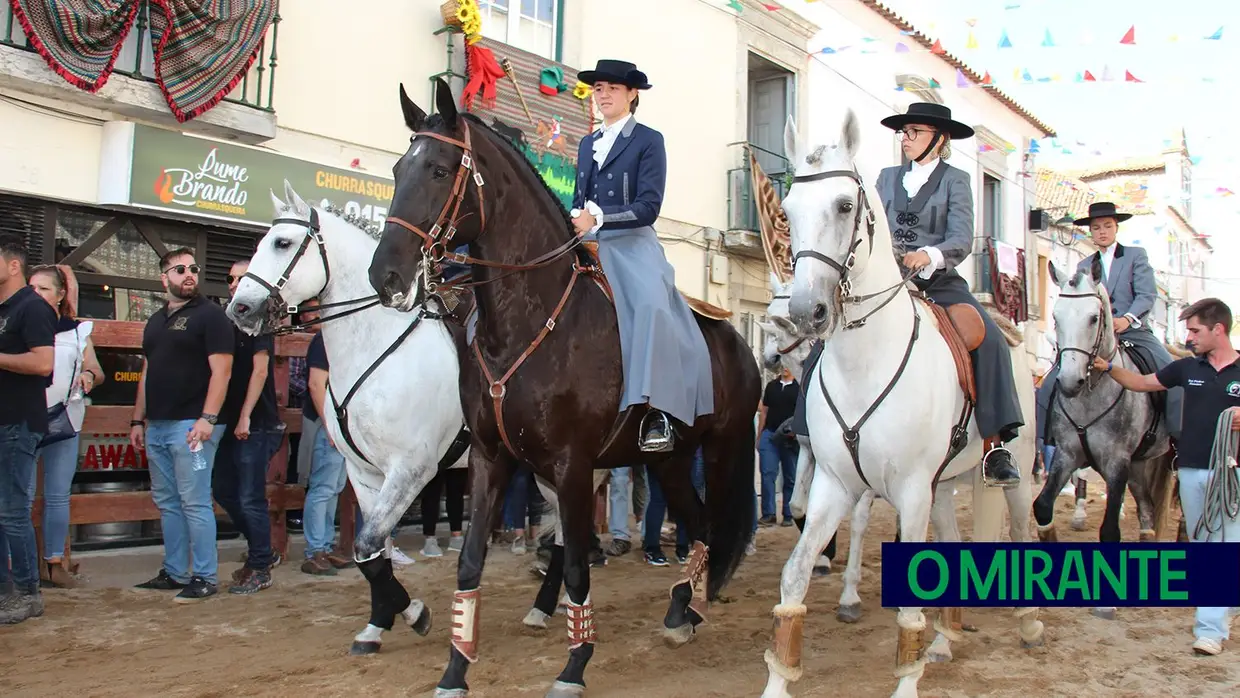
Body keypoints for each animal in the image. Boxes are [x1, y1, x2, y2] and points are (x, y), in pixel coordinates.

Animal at [224, 184, 466, 654]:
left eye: (282, 243)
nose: (239, 309)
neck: (380, 342)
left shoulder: (412, 469)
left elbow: (366, 545)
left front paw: (415, 614)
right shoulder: (364, 472)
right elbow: (374, 552)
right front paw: (380, 623)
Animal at [362, 79, 758, 694]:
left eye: (438, 170)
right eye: (400, 168)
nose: (386, 276)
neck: (529, 320)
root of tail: (737, 337)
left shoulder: (571, 464)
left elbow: (574, 564)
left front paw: (575, 664)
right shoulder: (491, 458)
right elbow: (470, 562)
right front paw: (455, 668)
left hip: (719, 453)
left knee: (712, 526)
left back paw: (690, 608)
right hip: (668, 459)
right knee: (697, 525)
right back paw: (680, 612)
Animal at [758, 113, 1041, 698]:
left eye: (846, 205)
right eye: (789, 209)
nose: (806, 311)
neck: (865, 363)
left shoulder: (909, 489)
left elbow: (910, 596)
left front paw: (905, 678)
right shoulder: (836, 484)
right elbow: (795, 573)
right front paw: (778, 679)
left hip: (1018, 472)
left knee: (1023, 529)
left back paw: (1027, 624)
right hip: (945, 486)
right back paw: (943, 641)